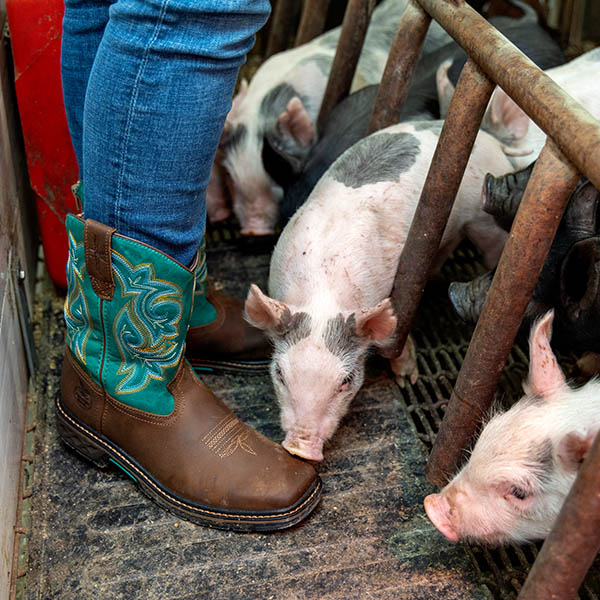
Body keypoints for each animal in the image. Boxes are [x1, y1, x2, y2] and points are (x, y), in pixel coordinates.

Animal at [241, 120, 512, 460]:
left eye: (346, 380)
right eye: (279, 373)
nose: (300, 448)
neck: (323, 295)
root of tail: (494, 141)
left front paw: (407, 378)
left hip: (487, 222)